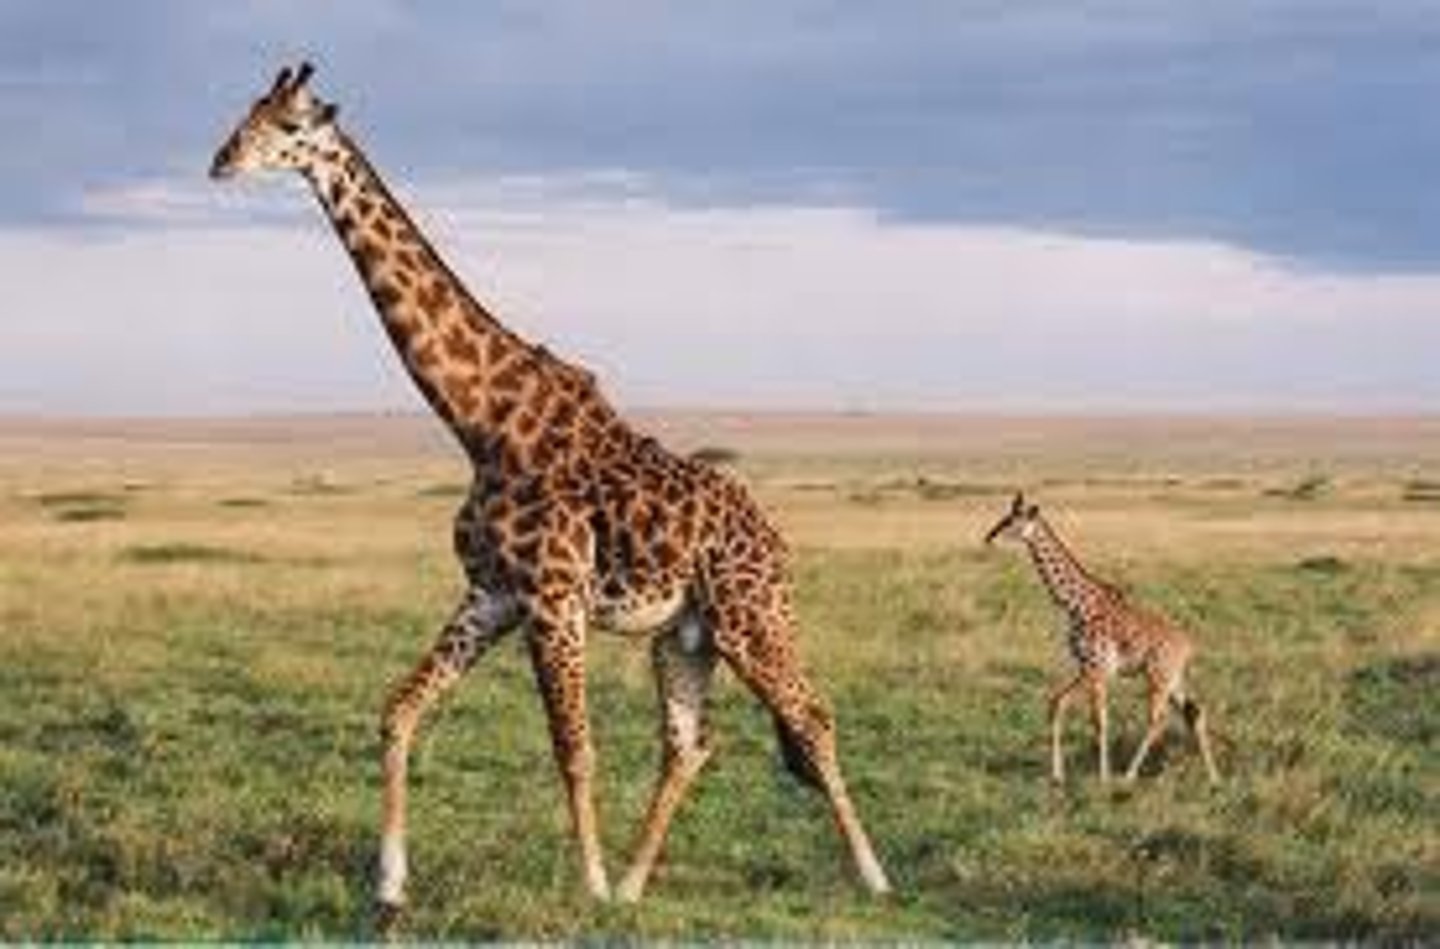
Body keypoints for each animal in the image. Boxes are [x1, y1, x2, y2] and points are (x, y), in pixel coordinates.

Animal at [209, 62, 891, 923]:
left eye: (288, 127)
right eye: (247, 113)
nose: (221, 160)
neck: (480, 422)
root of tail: (776, 540)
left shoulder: (553, 596)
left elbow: (575, 747)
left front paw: (588, 885)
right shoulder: (492, 593)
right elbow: (399, 709)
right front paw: (390, 885)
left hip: (750, 616)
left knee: (811, 714)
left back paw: (872, 875)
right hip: (685, 635)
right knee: (690, 743)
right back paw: (636, 884)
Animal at [983, 492, 1220, 785]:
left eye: (1013, 521)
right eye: (1004, 517)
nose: (989, 538)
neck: (1076, 605)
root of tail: (1189, 646)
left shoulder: (1097, 669)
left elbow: (1099, 720)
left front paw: (1103, 777)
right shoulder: (1086, 668)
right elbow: (1058, 704)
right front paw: (1057, 776)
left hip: (1158, 677)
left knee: (1158, 719)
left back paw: (1128, 775)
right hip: (1172, 679)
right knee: (1195, 712)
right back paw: (1213, 777)